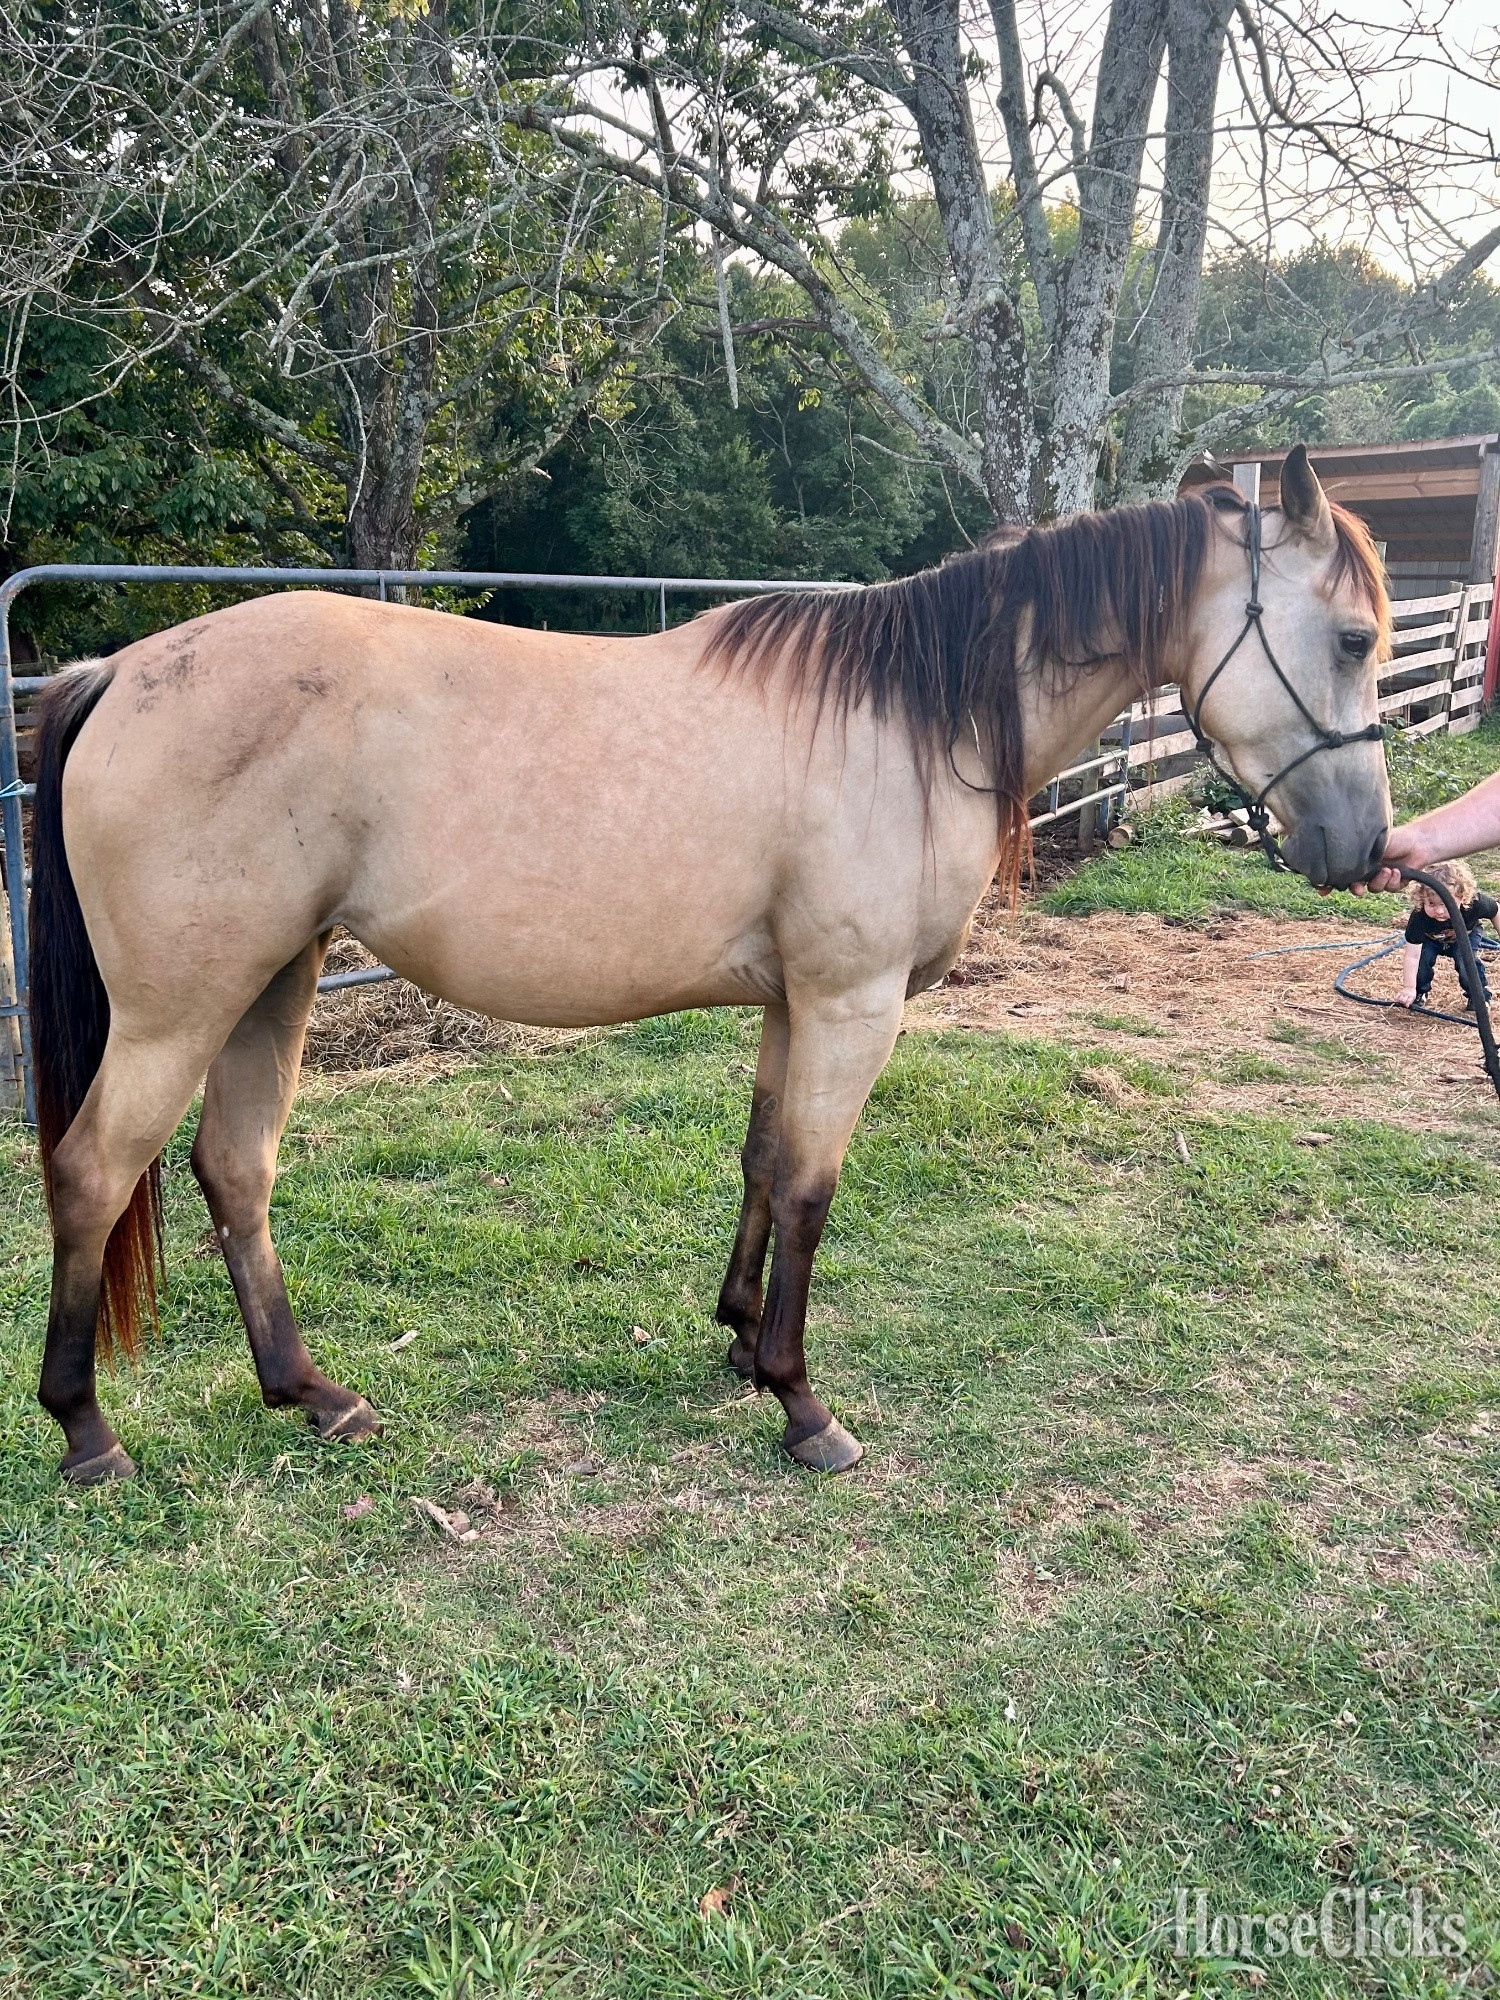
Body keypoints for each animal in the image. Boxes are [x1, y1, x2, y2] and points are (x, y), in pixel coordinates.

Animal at [27, 446, 1392, 1484]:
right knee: (94, 1172)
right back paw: (87, 1431)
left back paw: (314, 1392)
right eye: (1352, 637)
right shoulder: (851, 1006)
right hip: (180, 1009)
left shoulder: (795, 1003)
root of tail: (120, 670)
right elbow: (812, 1188)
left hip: (275, 982)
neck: (912, 717)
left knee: (233, 1169)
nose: (1363, 849)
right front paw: (802, 1401)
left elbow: (762, 1161)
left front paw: (738, 1342)